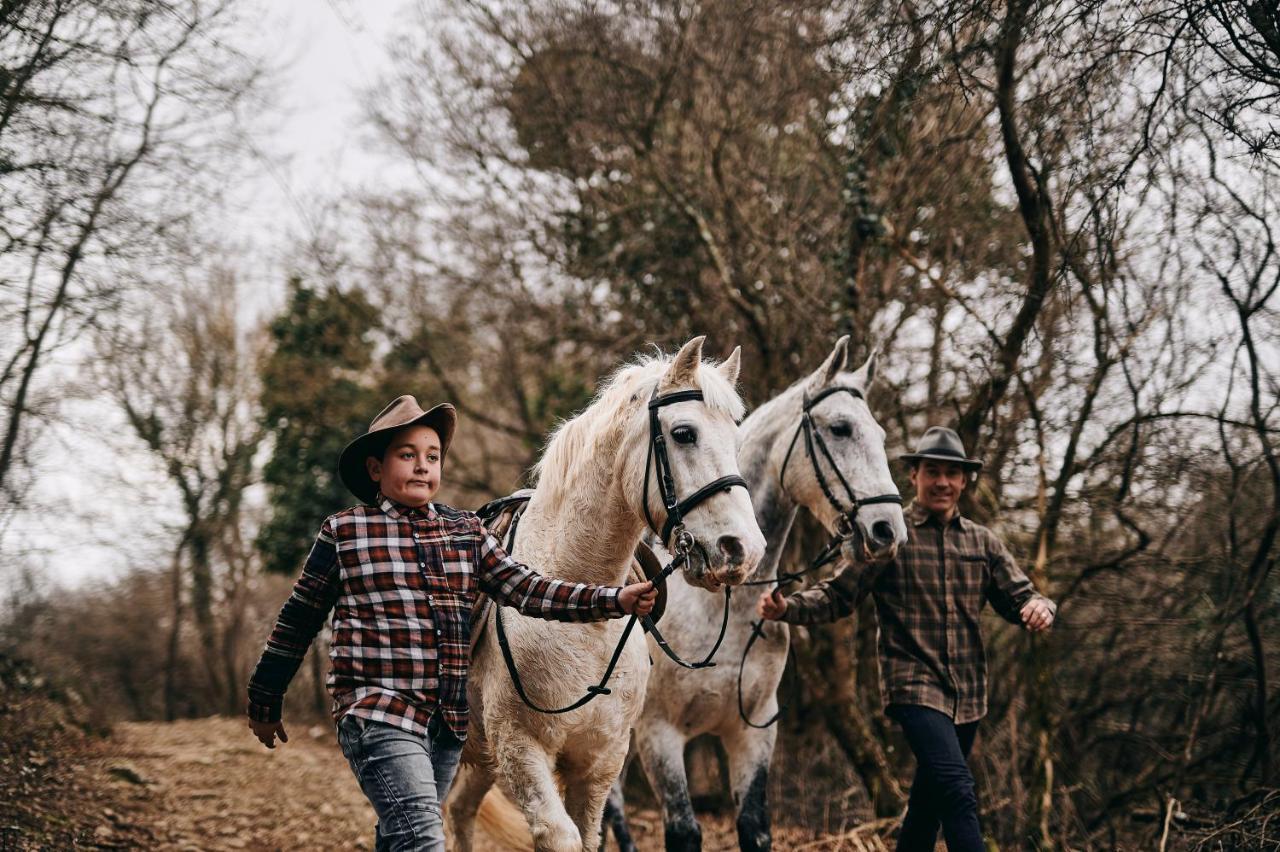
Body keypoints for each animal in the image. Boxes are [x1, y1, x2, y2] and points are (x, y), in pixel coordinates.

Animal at [448, 335, 757, 844]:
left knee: (458, 810)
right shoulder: (520, 750)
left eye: (737, 439)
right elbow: (561, 837)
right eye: (684, 433)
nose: (743, 549)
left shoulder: (600, 764)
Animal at [609, 335, 911, 849]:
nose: (887, 530)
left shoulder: (752, 734)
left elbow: (754, 826)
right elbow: (684, 830)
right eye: (840, 428)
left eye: (880, 434)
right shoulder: (659, 734)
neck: (718, 607)